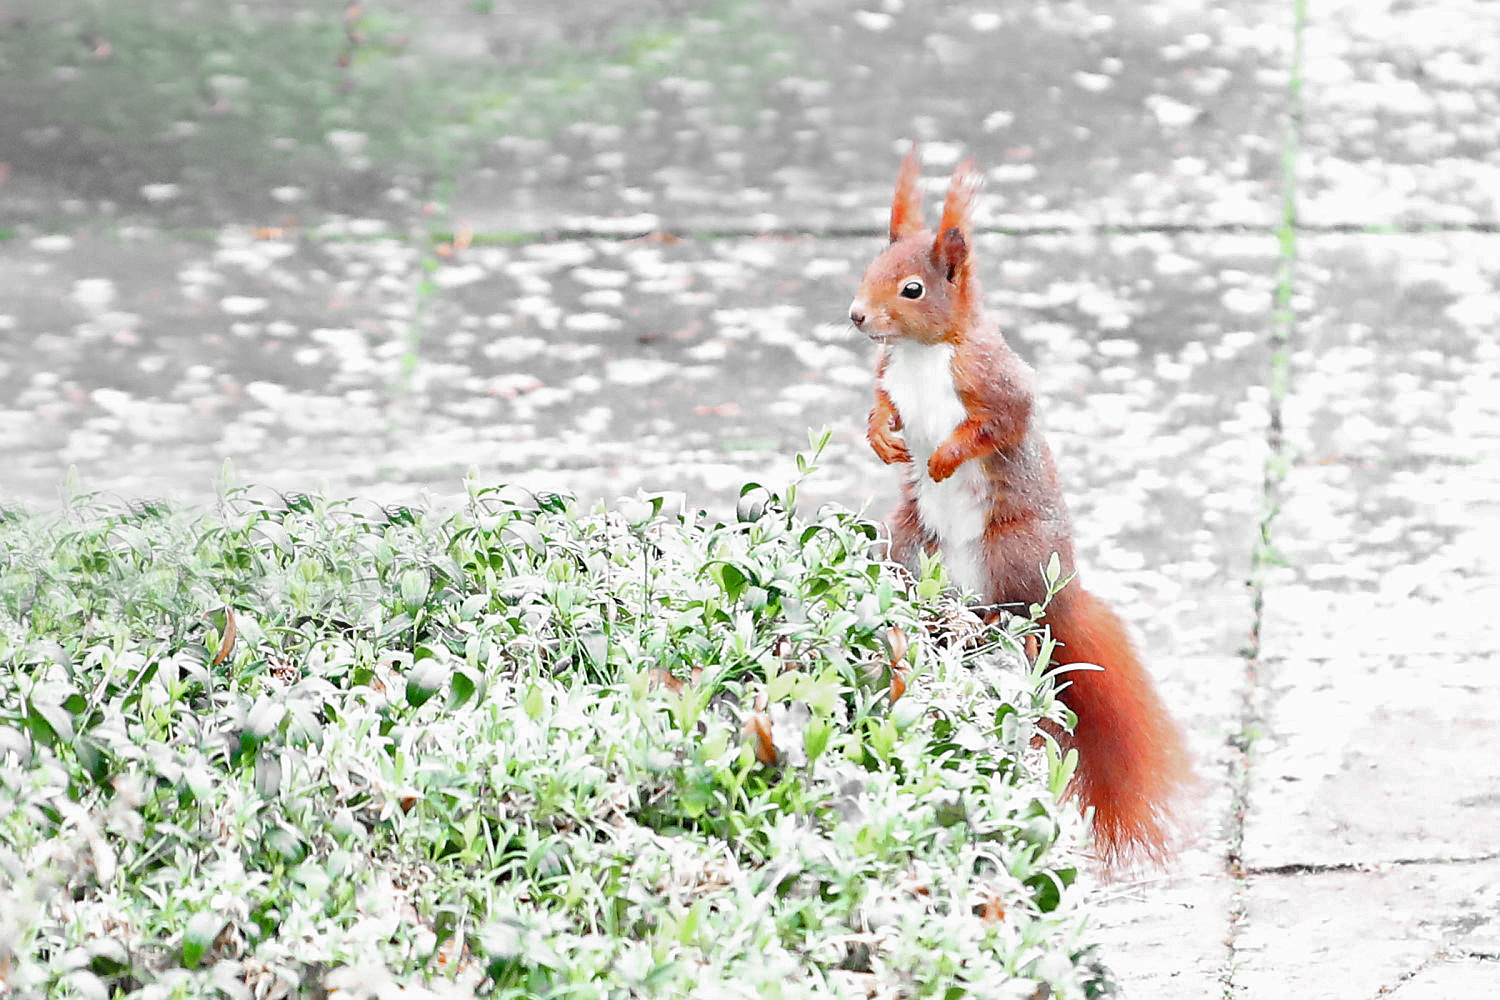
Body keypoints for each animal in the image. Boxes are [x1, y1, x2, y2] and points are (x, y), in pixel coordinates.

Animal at [852, 146, 1188, 869]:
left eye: (912, 289)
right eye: (868, 270)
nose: (856, 316)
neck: (922, 353)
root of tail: (1062, 590)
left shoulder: (997, 383)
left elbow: (1000, 423)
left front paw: (943, 460)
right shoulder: (889, 377)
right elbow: (880, 406)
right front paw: (885, 440)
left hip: (1009, 551)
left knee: (1020, 621)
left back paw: (997, 623)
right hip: (909, 542)